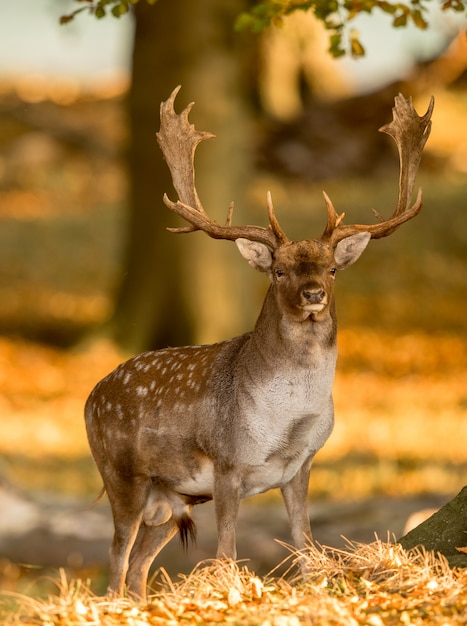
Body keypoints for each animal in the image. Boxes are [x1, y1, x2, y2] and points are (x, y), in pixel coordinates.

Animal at [85, 85, 436, 596]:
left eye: (332, 269)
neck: (285, 422)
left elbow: (306, 545)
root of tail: (90, 396)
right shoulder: (227, 464)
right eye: (279, 270)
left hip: (172, 497)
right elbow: (226, 554)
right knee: (115, 560)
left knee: (137, 566)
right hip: (121, 473)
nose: (313, 295)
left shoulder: (301, 468)